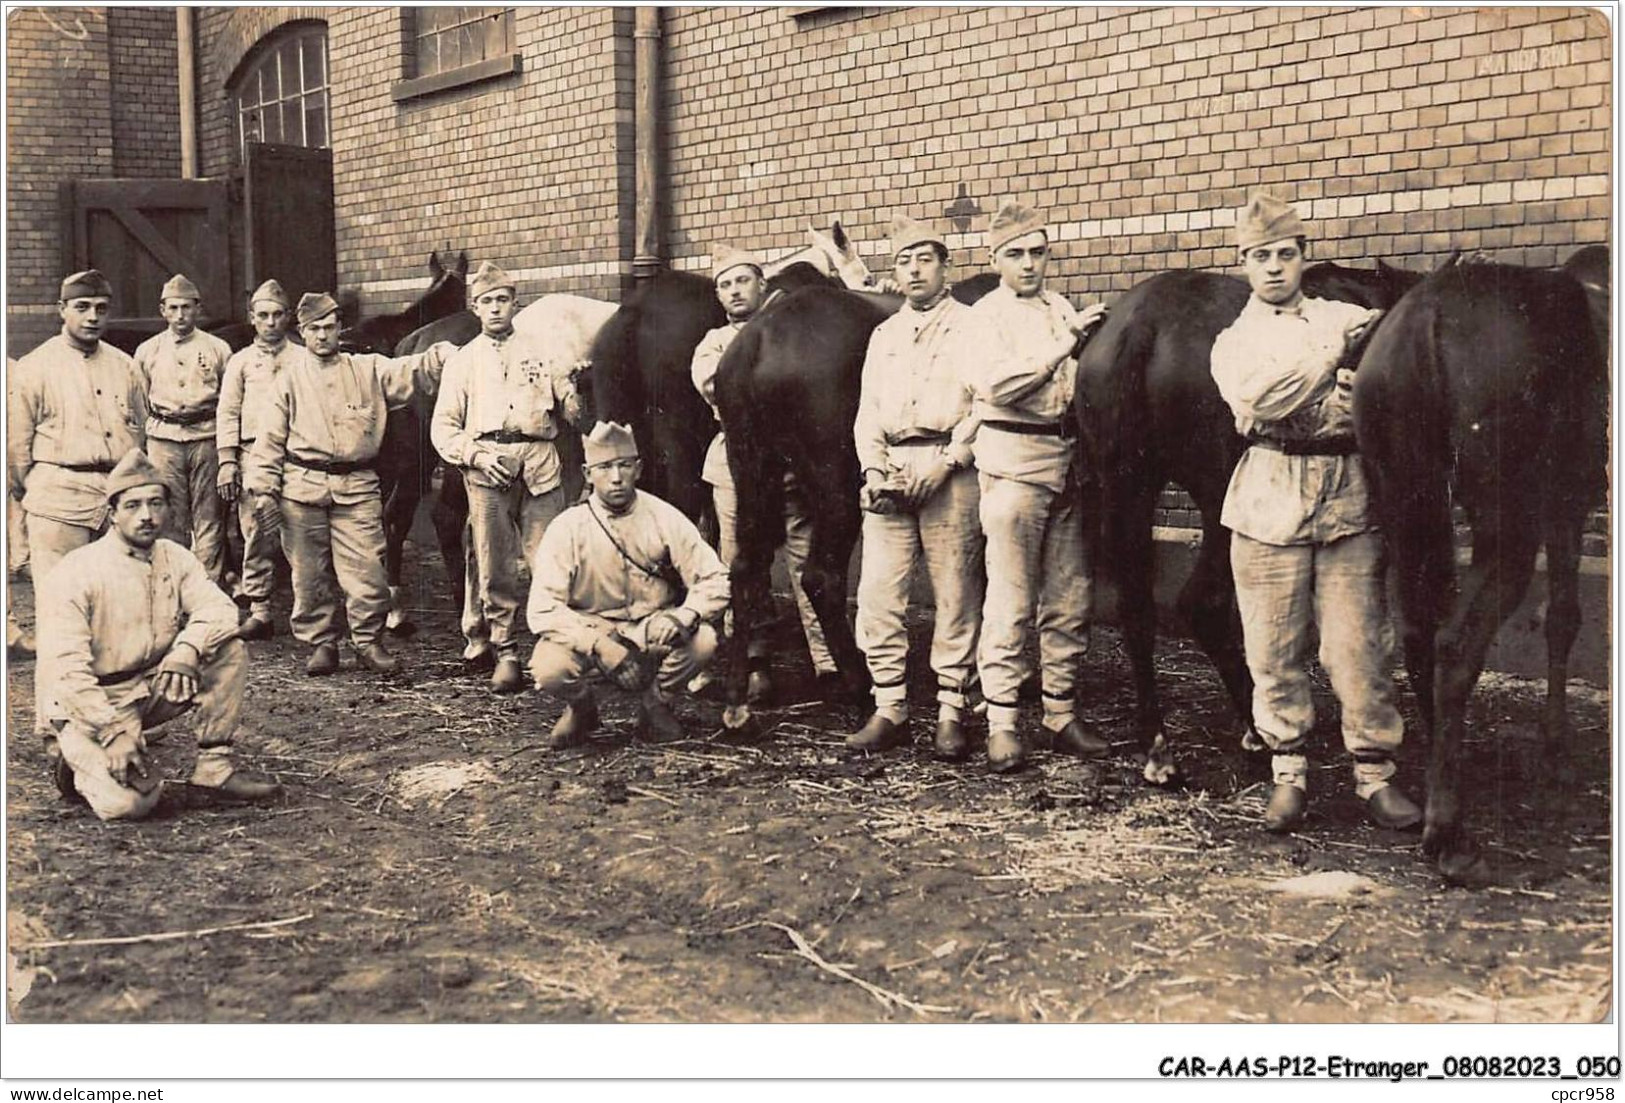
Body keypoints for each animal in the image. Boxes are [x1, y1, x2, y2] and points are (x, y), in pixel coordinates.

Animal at [1072, 261, 1430, 786]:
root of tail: (1140, 327)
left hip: (1128, 487)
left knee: (1138, 609)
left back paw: (1159, 747)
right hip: (1219, 492)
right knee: (1203, 601)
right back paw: (1258, 733)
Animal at [1352, 256, 1605, 877]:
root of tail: (1428, 314)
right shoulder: (1565, 505)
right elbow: (1563, 616)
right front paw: (1557, 752)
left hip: (1408, 502)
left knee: (1420, 634)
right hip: (1507, 525)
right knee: (1455, 644)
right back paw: (1449, 831)